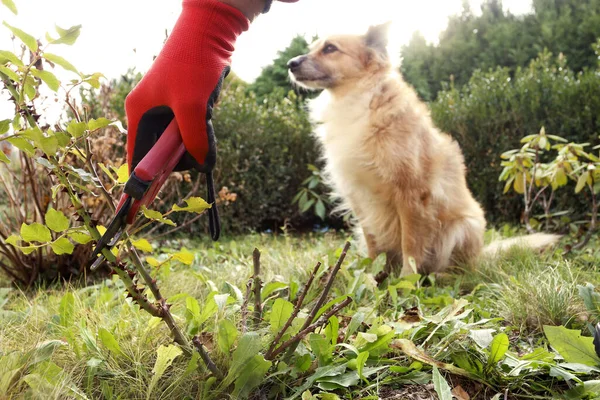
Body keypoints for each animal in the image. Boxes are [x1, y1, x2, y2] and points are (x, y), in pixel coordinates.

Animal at [288, 24, 556, 276]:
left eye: (330, 48)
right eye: (313, 48)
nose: (290, 64)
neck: (359, 99)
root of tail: (481, 254)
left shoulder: (411, 195)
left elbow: (411, 244)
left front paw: (406, 280)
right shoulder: (361, 199)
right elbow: (373, 245)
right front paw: (371, 276)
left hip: (462, 228)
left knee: (463, 270)